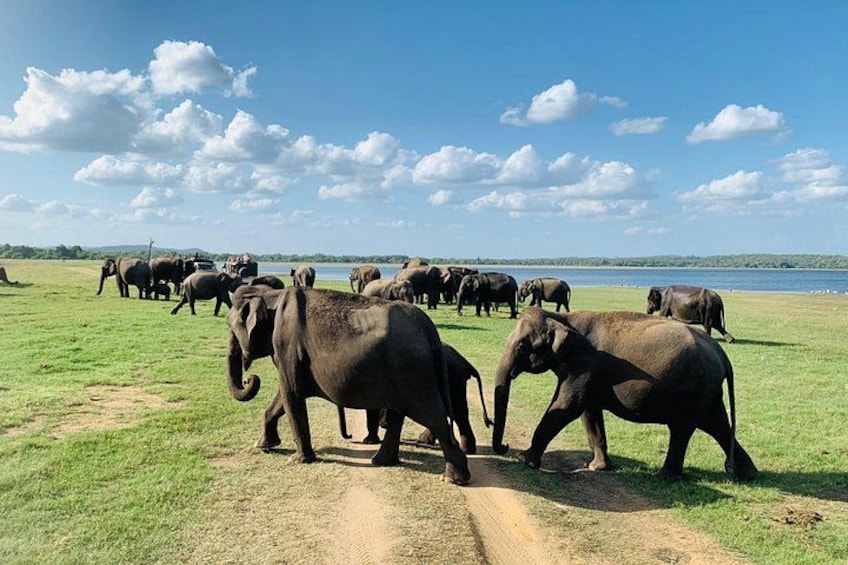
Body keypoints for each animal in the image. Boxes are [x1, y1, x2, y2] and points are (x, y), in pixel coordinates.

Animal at [224, 285, 471, 484]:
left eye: (231, 326)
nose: (249, 378)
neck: (270, 295)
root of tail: (430, 331)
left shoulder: (286, 345)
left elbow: (291, 393)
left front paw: (297, 460)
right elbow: (283, 397)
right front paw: (264, 446)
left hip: (412, 370)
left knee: (433, 415)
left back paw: (453, 478)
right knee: (399, 414)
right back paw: (381, 461)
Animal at [491, 307, 758, 481]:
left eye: (522, 346)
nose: (505, 446)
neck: (565, 319)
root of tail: (722, 354)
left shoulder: (584, 364)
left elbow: (567, 406)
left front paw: (524, 460)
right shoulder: (588, 373)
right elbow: (589, 413)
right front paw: (597, 467)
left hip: (695, 390)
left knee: (683, 429)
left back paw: (664, 477)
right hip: (708, 392)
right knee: (717, 426)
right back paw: (748, 474)